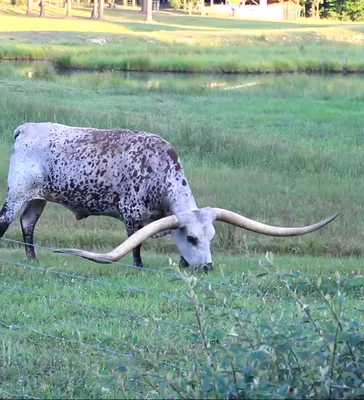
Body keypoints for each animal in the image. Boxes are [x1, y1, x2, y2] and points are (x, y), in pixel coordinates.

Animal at [0, 122, 338, 272]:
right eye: (192, 238)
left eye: (211, 237)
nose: (208, 267)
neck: (160, 170)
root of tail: (26, 127)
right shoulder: (131, 212)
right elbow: (135, 243)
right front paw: (139, 267)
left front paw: (184, 263)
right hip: (17, 193)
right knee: (6, 222)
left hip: (37, 198)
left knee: (28, 225)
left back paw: (32, 259)